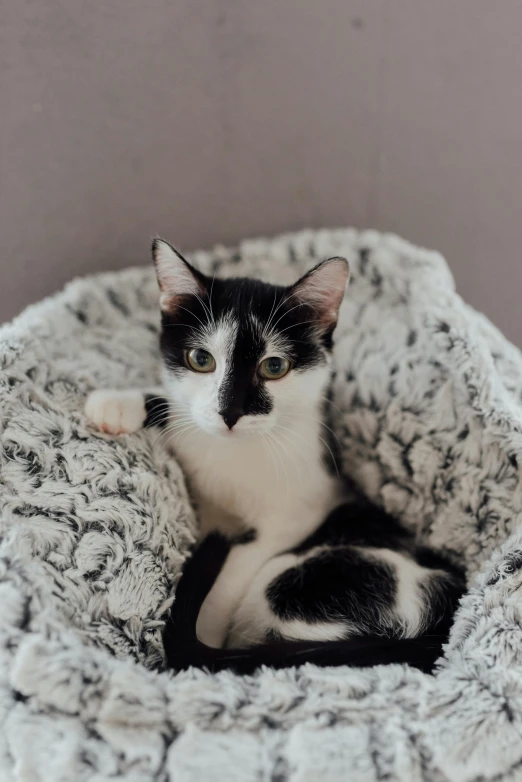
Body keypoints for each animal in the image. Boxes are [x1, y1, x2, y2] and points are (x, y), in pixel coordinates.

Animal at [85, 240, 464, 672]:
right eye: (201, 360)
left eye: (275, 366)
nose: (230, 413)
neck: (236, 451)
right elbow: (179, 411)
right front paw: (116, 404)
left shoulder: (298, 513)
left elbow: (232, 570)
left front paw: (205, 627)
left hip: (311, 577)